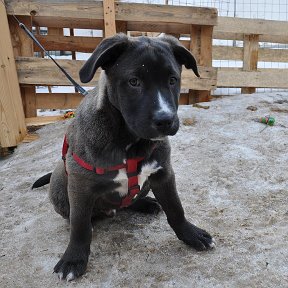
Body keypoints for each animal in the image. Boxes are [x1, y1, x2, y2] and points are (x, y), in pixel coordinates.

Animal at [33, 33, 214, 282]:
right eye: (133, 82)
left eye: (172, 80)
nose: (165, 120)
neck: (130, 143)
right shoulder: (79, 184)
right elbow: (79, 226)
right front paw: (74, 258)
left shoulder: (163, 174)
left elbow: (176, 208)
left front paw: (191, 234)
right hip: (61, 182)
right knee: (80, 215)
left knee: (129, 202)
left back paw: (145, 203)